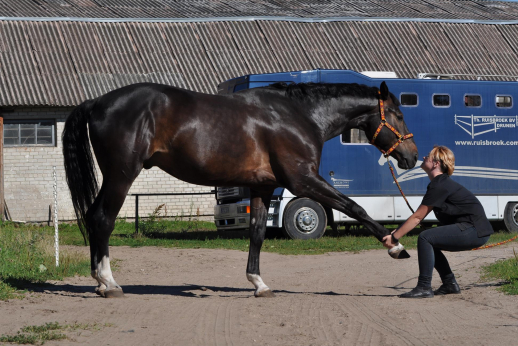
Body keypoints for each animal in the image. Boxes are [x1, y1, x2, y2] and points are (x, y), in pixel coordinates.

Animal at [62, 80, 418, 298]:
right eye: (398, 115)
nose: (411, 156)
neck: (299, 115)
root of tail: (97, 101)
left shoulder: (264, 186)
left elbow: (257, 232)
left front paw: (258, 283)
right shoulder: (303, 180)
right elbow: (354, 206)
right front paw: (396, 246)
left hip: (114, 177)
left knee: (94, 217)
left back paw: (99, 282)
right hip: (121, 176)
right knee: (103, 220)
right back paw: (109, 282)